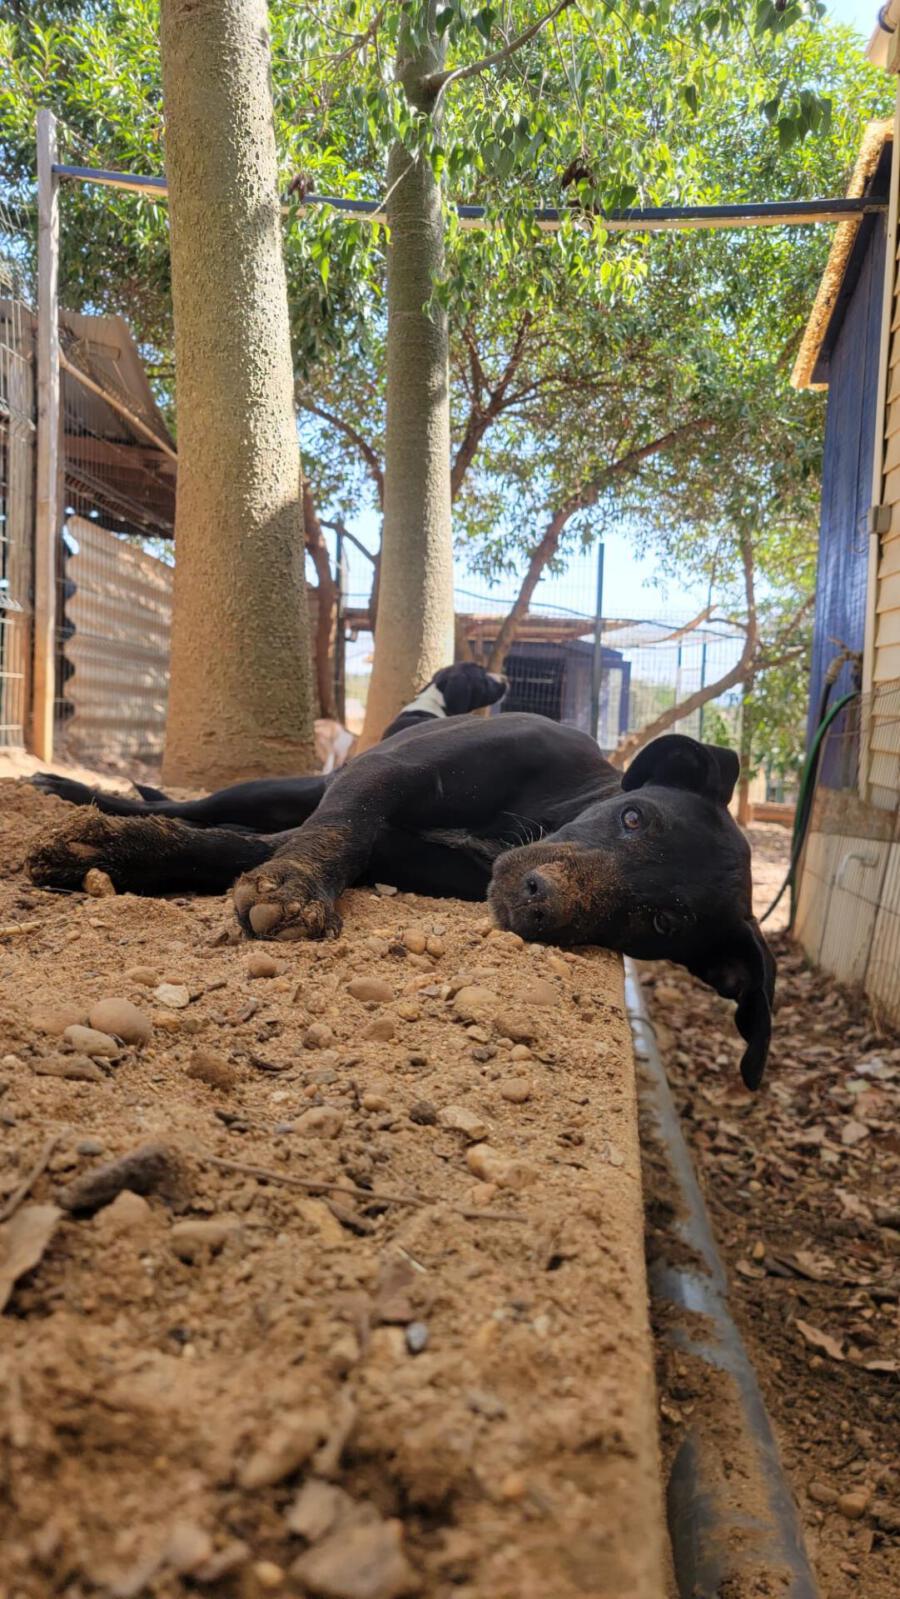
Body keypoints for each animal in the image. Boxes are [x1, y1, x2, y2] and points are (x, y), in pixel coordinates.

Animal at [27, 717, 774, 1088]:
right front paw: (295, 880)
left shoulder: (400, 852)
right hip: (289, 782)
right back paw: (79, 793)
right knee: (204, 805)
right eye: (634, 818)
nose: (539, 903)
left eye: (663, 921)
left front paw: (121, 857)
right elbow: (337, 826)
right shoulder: (390, 771)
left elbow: (249, 848)